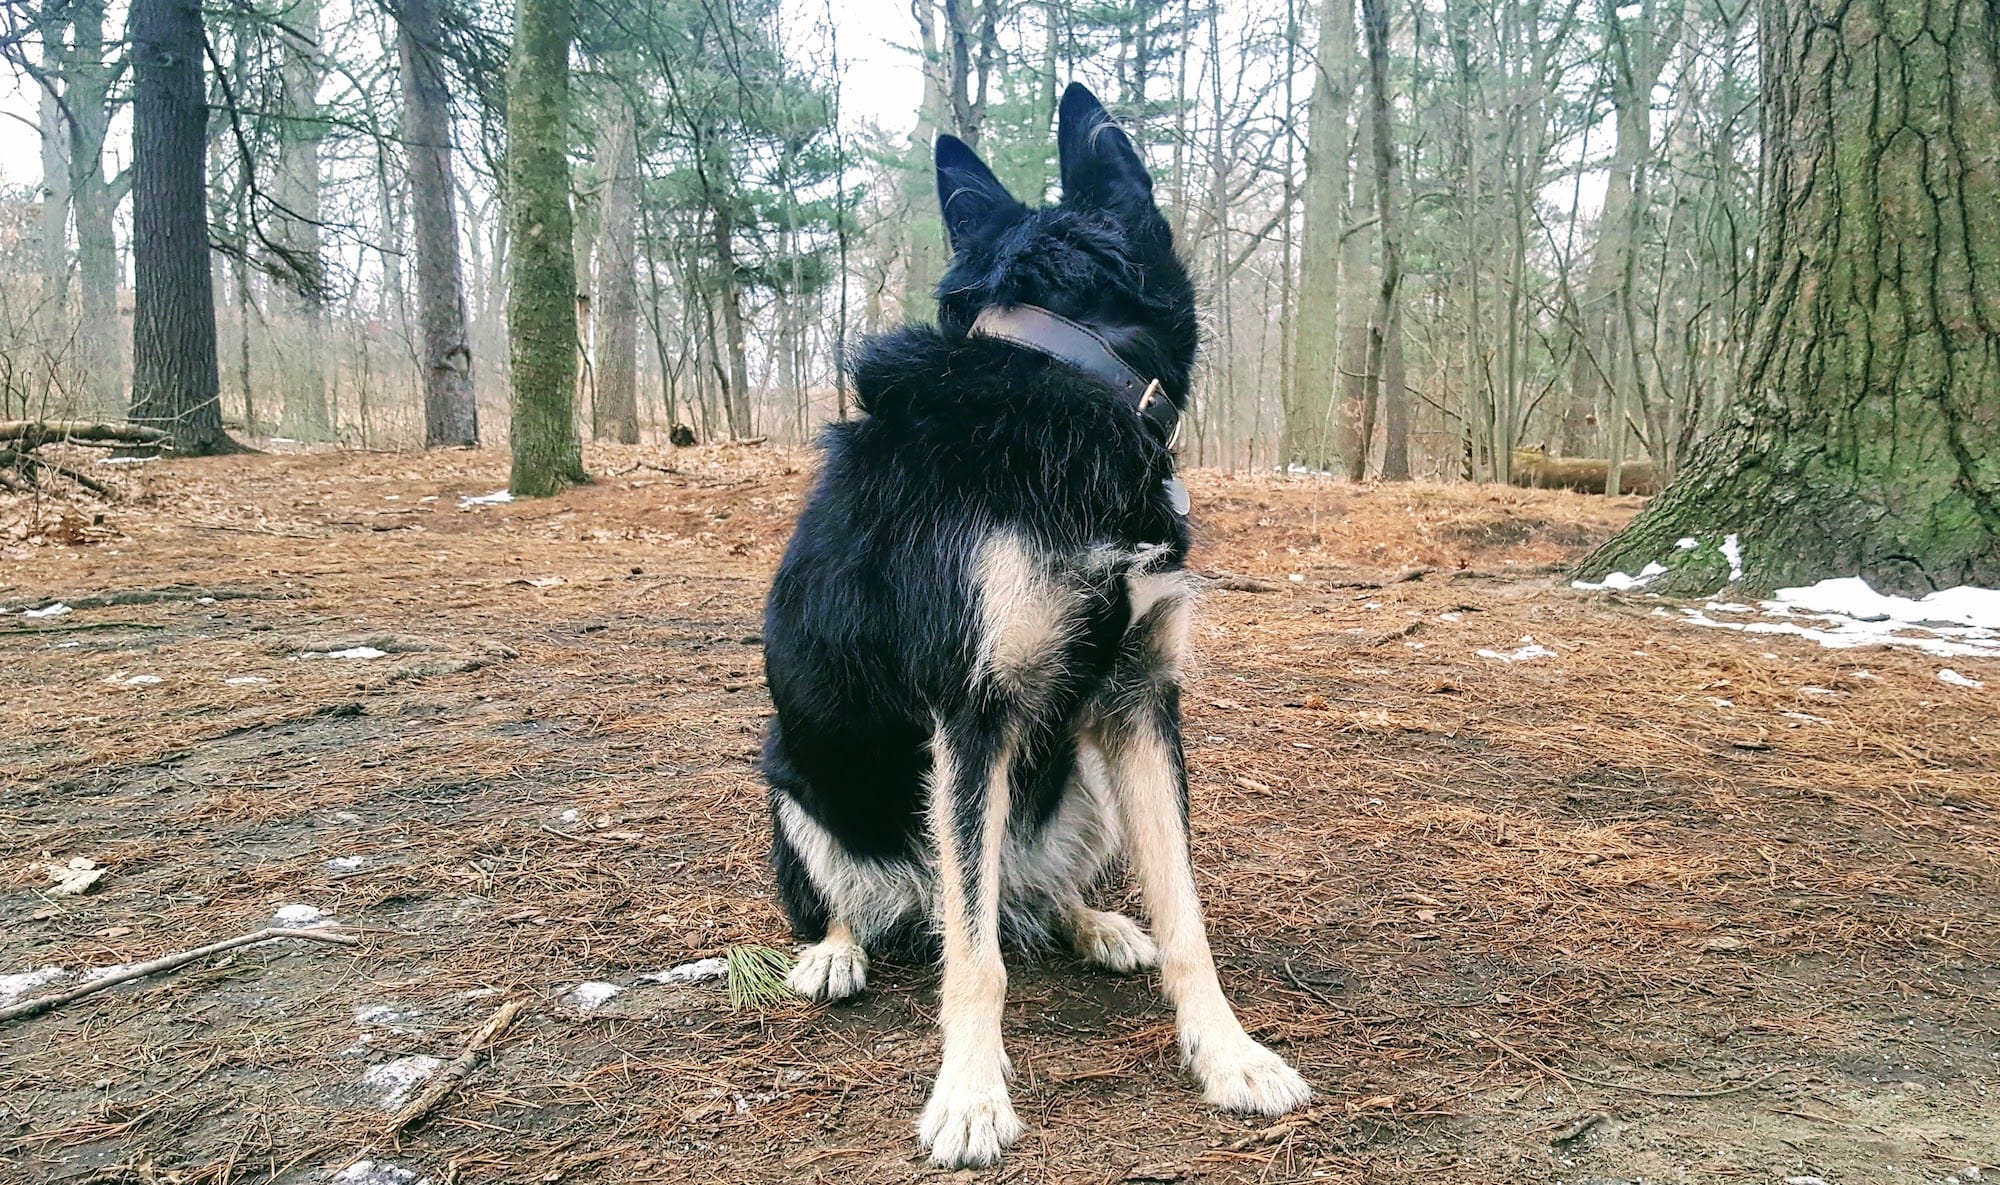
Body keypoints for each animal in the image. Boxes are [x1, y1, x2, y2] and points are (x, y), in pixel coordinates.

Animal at [756, 81, 1304, 1168]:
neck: (1061, 369)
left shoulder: (1139, 703)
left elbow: (1188, 913)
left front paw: (1227, 1054)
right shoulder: (972, 718)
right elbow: (973, 962)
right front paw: (969, 1098)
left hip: (1083, 779)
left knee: (1032, 898)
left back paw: (1095, 923)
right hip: (793, 784)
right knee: (881, 909)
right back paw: (835, 954)